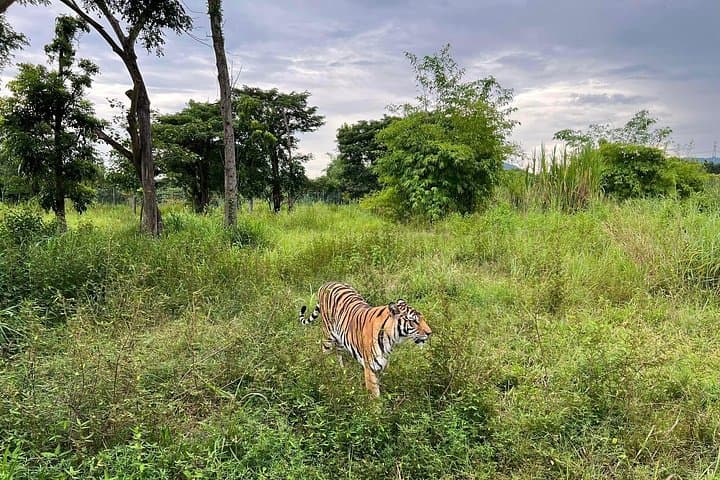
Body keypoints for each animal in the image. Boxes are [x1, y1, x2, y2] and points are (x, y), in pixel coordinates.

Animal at [299, 281, 432, 398]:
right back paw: (328, 371)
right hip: (328, 335)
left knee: (338, 354)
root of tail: (327, 283)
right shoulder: (370, 368)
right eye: (413, 321)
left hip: (341, 339)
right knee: (325, 352)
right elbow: (375, 395)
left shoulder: (382, 365)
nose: (430, 333)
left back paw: (342, 372)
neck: (392, 339)